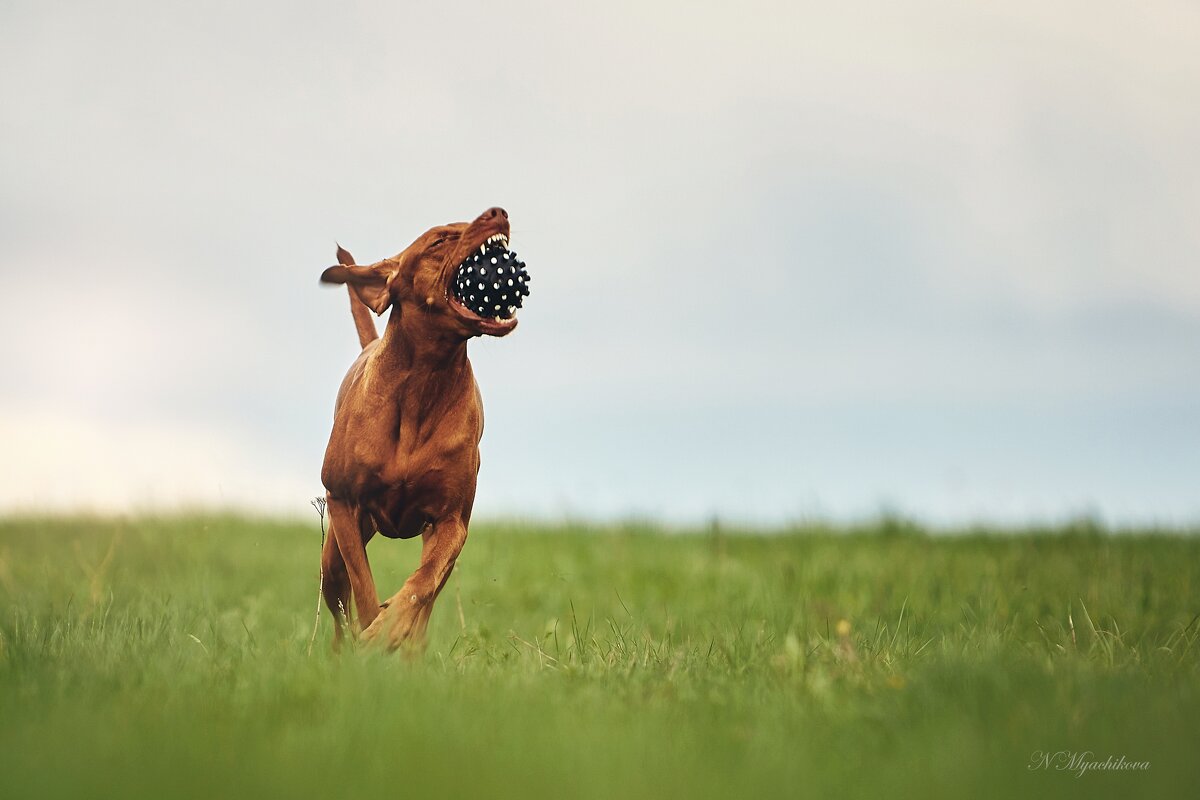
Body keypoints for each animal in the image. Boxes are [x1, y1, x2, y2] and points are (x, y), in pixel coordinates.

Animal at [319, 206, 525, 652]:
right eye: (440, 240)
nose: (498, 212)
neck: (425, 381)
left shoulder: (450, 523)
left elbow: (422, 585)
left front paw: (392, 629)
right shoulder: (342, 502)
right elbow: (363, 586)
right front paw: (374, 633)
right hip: (333, 553)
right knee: (339, 607)